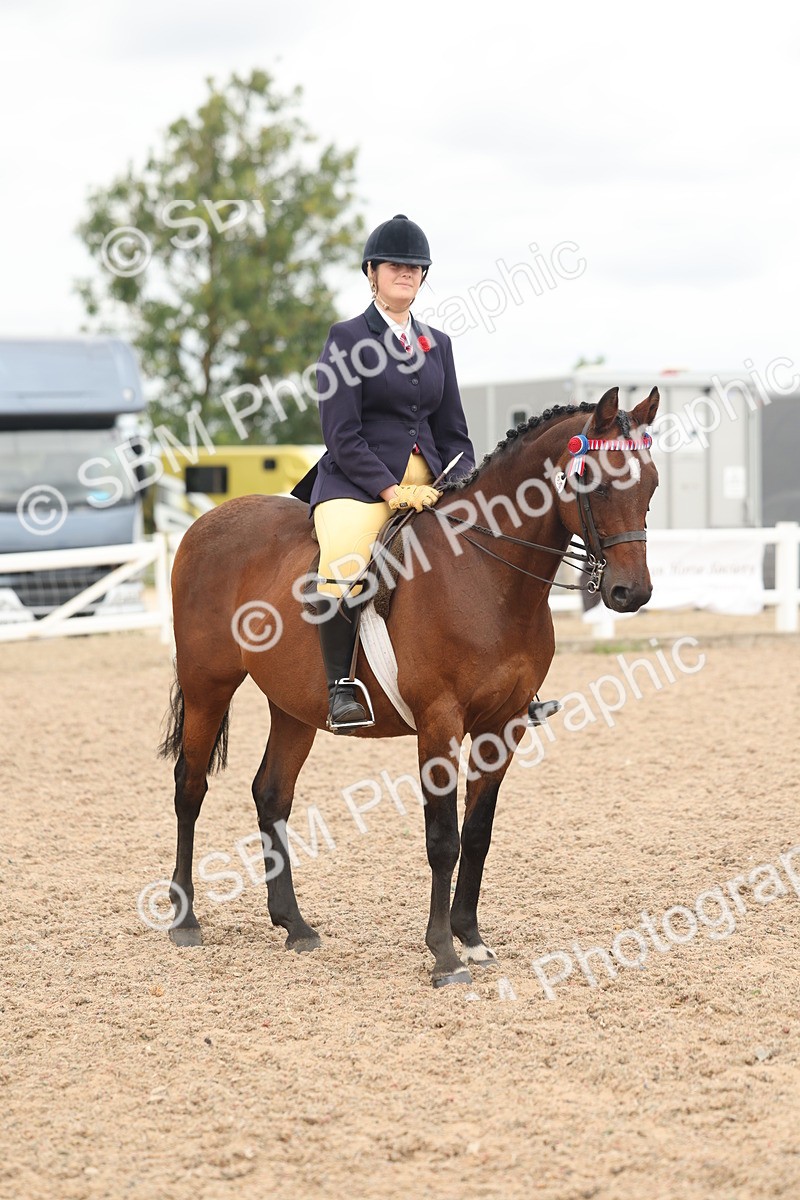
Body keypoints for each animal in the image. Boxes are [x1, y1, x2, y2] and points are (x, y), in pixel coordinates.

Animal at [158, 385, 660, 987]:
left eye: (652, 485)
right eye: (597, 482)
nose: (632, 593)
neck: (487, 577)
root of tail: (206, 522)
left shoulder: (505, 724)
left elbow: (479, 831)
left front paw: (472, 939)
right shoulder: (440, 721)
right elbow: (443, 839)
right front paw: (444, 954)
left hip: (294, 707)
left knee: (271, 794)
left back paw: (294, 926)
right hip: (208, 683)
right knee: (190, 787)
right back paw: (185, 921)